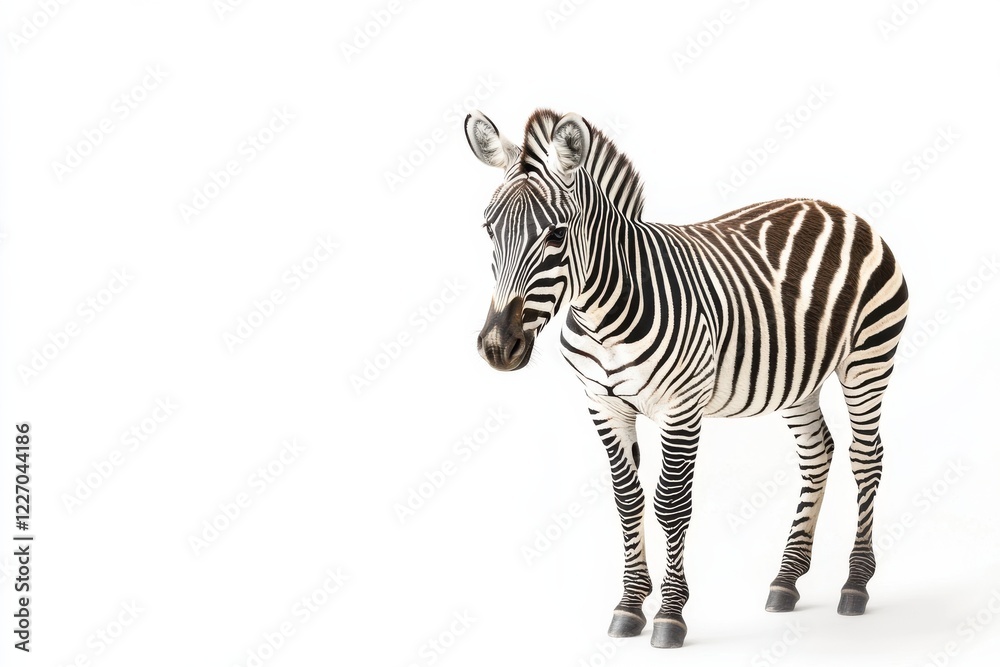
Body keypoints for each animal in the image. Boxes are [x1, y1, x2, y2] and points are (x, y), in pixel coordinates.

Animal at [464, 108, 908, 649]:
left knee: (866, 458)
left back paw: (855, 585)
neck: (601, 311)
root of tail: (836, 208)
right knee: (817, 452)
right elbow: (628, 502)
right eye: (489, 230)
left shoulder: (680, 408)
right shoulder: (603, 405)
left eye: (555, 235)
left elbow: (670, 505)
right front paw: (629, 606)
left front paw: (670, 616)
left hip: (868, 360)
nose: (497, 348)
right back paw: (786, 580)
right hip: (798, 378)